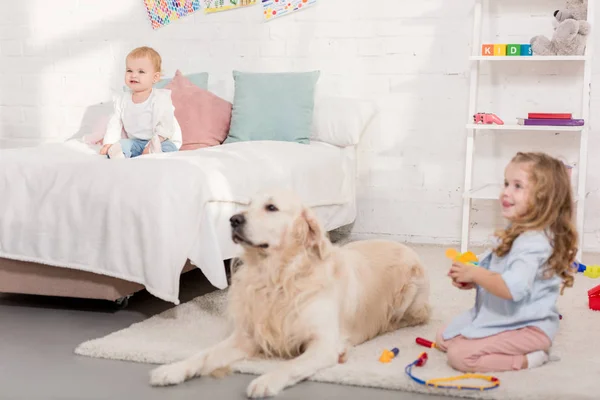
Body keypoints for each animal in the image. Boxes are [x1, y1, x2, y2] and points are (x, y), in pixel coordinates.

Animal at [150, 190, 432, 396]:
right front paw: (172, 369)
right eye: (247, 205)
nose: (233, 219)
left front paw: (265, 381)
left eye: (271, 208)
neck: (277, 275)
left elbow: (292, 364)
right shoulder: (246, 336)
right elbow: (203, 354)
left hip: (410, 295)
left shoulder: (323, 344)